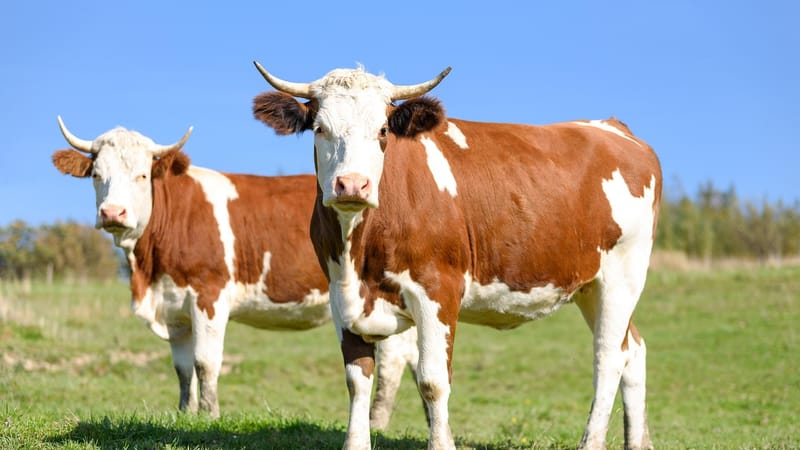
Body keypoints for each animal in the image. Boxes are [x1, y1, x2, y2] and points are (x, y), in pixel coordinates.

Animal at [51, 116, 421, 426]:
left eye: (142, 175)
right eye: (96, 175)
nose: (113, 212)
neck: (149, 270)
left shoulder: (209, 296)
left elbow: (205, 362)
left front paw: (209, 415)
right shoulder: (174, 308)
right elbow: (183, 368)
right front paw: (185, 413)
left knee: (392, 361)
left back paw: (376, 422)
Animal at [251, 62, 662, 450]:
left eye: (382, 131)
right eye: (320, 128)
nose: (352, 184)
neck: (360, 249)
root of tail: (613, 127)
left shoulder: (438, 288)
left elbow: (433, 380)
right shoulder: (341, 293)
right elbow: (357, 379)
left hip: (622, 276)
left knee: (608, 357)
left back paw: (592, 441)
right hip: (588, 287)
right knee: (634, 349)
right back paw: (638, 441)